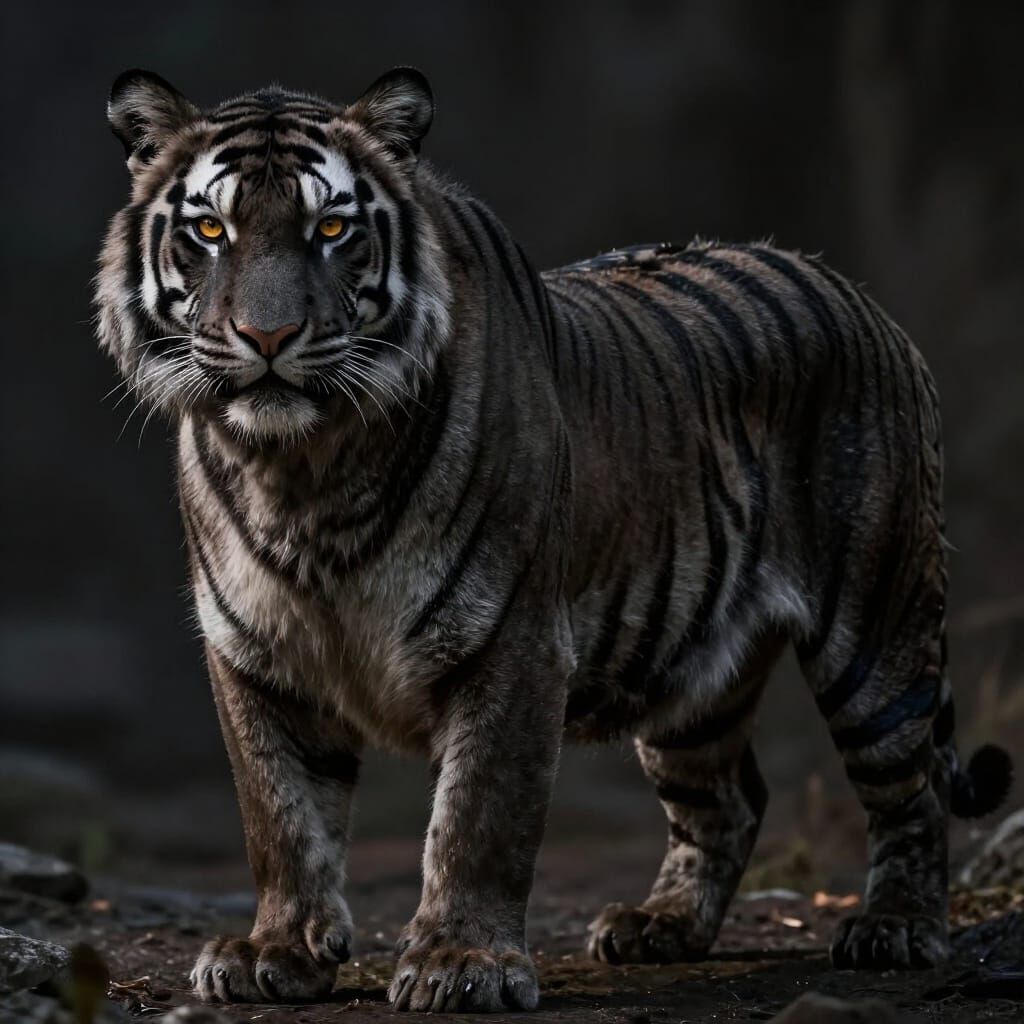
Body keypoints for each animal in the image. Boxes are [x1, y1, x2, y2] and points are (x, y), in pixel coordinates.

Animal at [95, 66, 1012, 1012]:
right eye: (211, 230)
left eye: (332, 229)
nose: (268, 337)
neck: (304, 470)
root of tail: (857, 294)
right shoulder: (255, 650)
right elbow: (279, 813)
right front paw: (275, 951)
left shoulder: (513, 638)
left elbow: (479, 815)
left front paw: (462, 963)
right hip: (691, 674)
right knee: (728, 798)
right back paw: (660, 927)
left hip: (876, 630)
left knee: (911, 789)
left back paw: (897, 929)